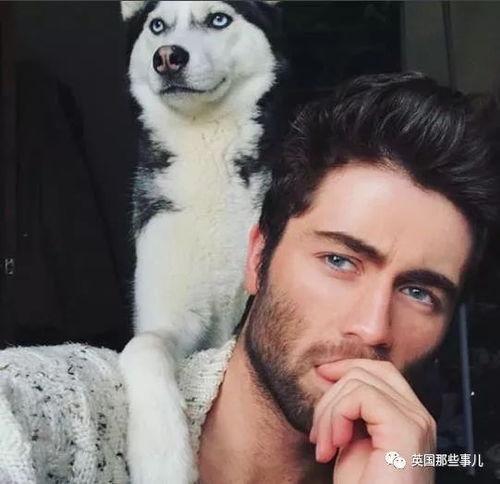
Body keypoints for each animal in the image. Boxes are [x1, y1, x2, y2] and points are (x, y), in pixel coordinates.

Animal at [119, 1, 286, 482]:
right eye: (157, 26)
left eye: (218, 19)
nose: (168, 57)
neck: (205, 143)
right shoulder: (166, 314)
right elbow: (145, 347)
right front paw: (162, 456)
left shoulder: (239, 318)